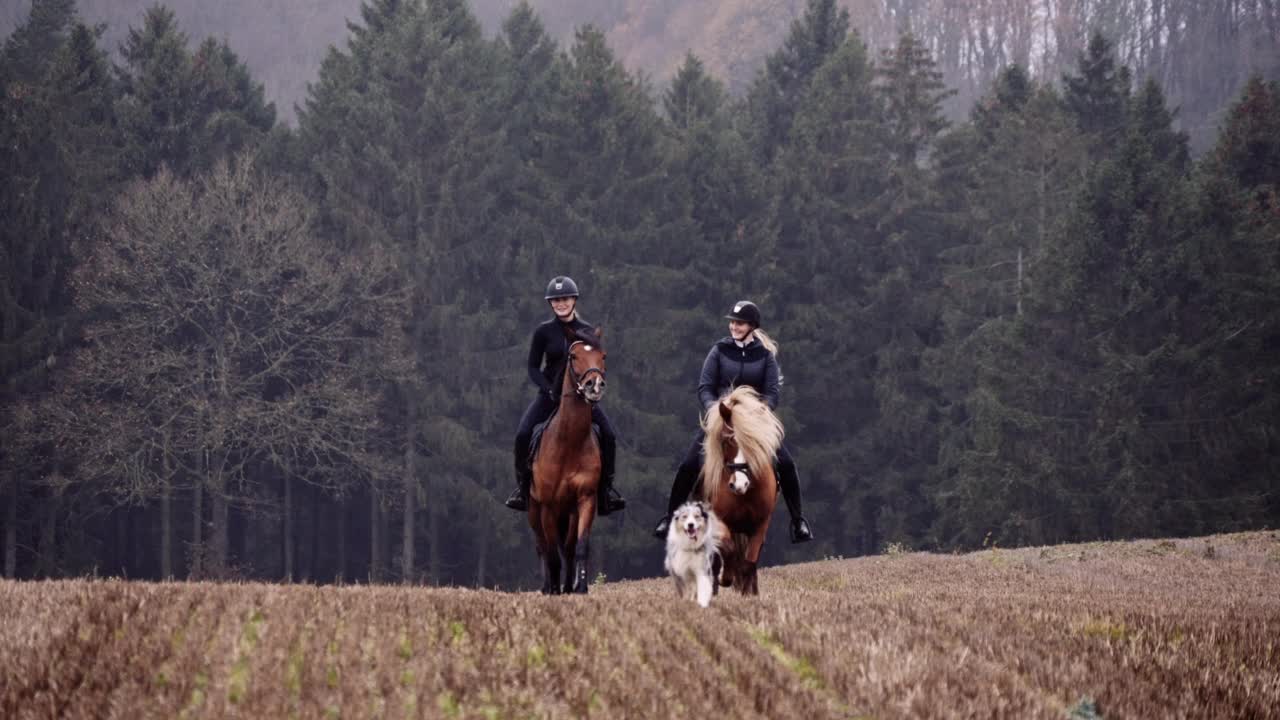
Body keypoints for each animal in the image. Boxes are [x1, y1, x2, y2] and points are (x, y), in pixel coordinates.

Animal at [529, 327, 609, 591]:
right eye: (573, 356)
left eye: (602, 356)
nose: (595, 385)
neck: (568, 444)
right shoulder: (547, 506)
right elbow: (551, 552)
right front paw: (554, 589)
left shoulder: (585, 499)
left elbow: (579, 546)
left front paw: (579, 588)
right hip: (534, 510)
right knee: (542, 546)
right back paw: (548, 586)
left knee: (568, 548)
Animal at [696, 384, 783, 591]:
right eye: (727, 440)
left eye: (755, 443)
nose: (739, 485)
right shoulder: (718, 520)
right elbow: (728, 549)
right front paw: (724, 577)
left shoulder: (760, 524)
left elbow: (749, 562)